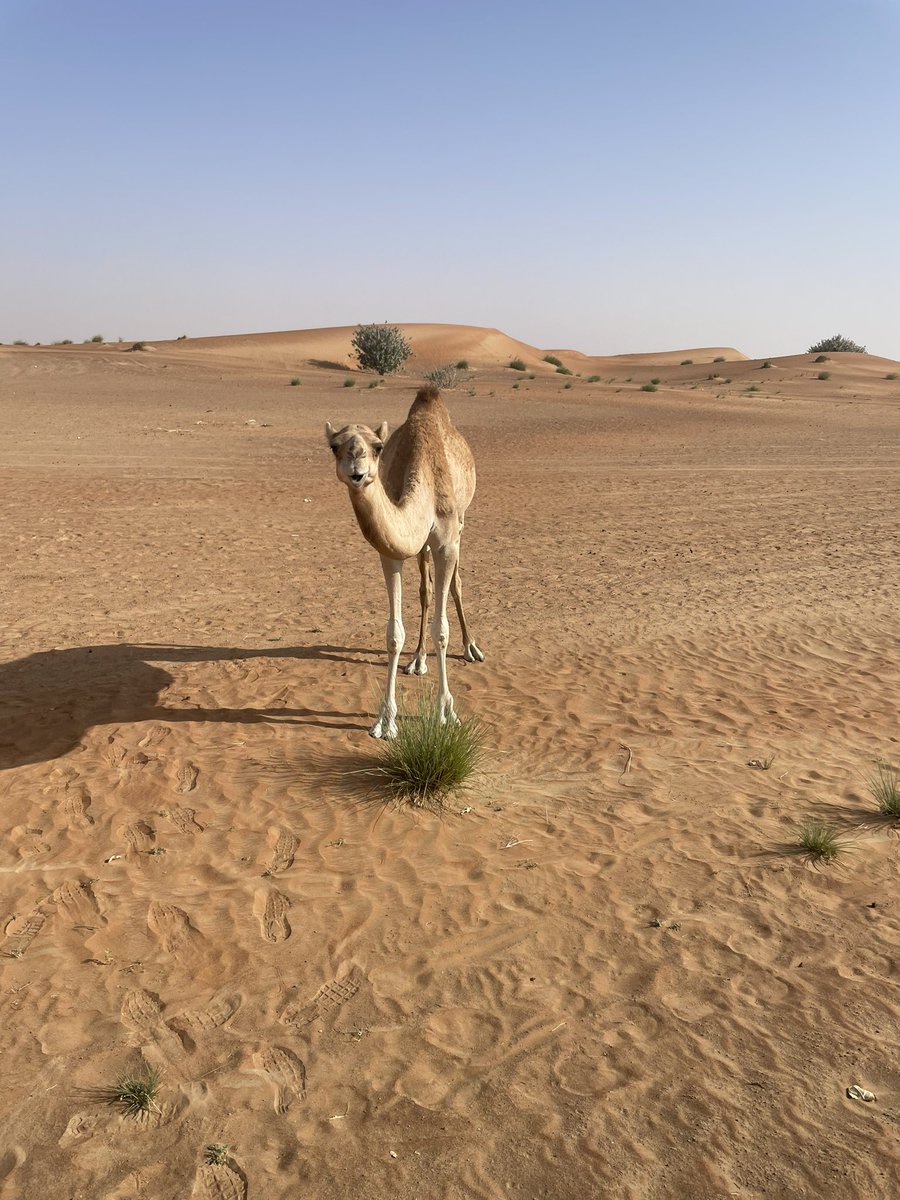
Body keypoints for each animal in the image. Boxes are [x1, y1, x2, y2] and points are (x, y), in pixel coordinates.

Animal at [325, 385, 484, 739]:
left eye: (377, 447)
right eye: (334, 446)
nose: (356, 468)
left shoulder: (447, 542)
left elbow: (442, 629)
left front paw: (445, 712)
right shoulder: (391, 552)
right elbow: (393, 634)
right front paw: (385, 721)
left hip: (461, 522)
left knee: (456, 584)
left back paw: (471, 648)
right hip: (422, 544)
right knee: (426, 590)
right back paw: (419, 659)